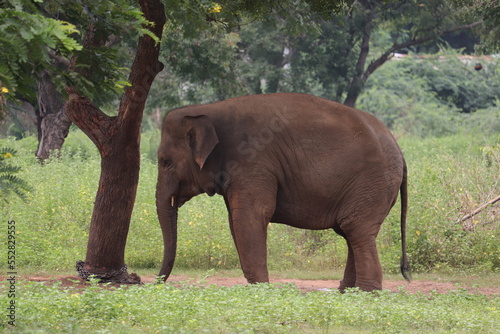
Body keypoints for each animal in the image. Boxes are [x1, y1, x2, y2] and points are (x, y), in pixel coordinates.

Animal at [157, 92, 410, 290]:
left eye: (165, 162)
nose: (156, 283)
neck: (207, 109)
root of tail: (400, 149)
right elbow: (235, 220)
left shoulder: (254, 162)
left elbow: (250, 217)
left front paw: (261, 290)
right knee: (352, 232)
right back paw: (347, 292)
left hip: (372, 183)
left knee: (357, 231)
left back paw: (366, 293)